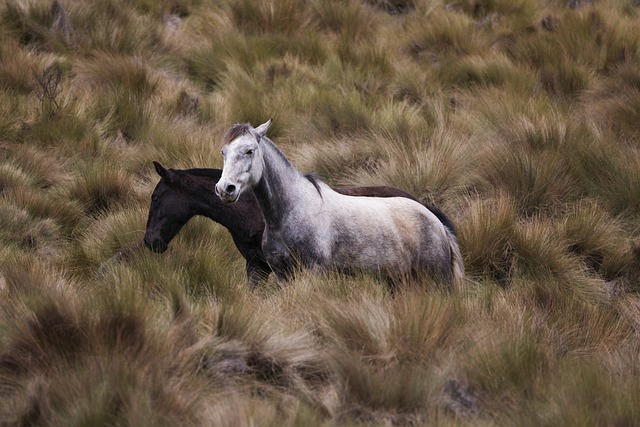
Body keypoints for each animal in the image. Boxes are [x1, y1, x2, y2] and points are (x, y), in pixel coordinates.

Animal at [215, 118, 464, 290]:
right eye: (224, 151)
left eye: (249, 150)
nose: (225, 189)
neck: (291, 212)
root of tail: (437, 222)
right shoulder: (281, 274)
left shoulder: (315, 271)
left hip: (437, 280)